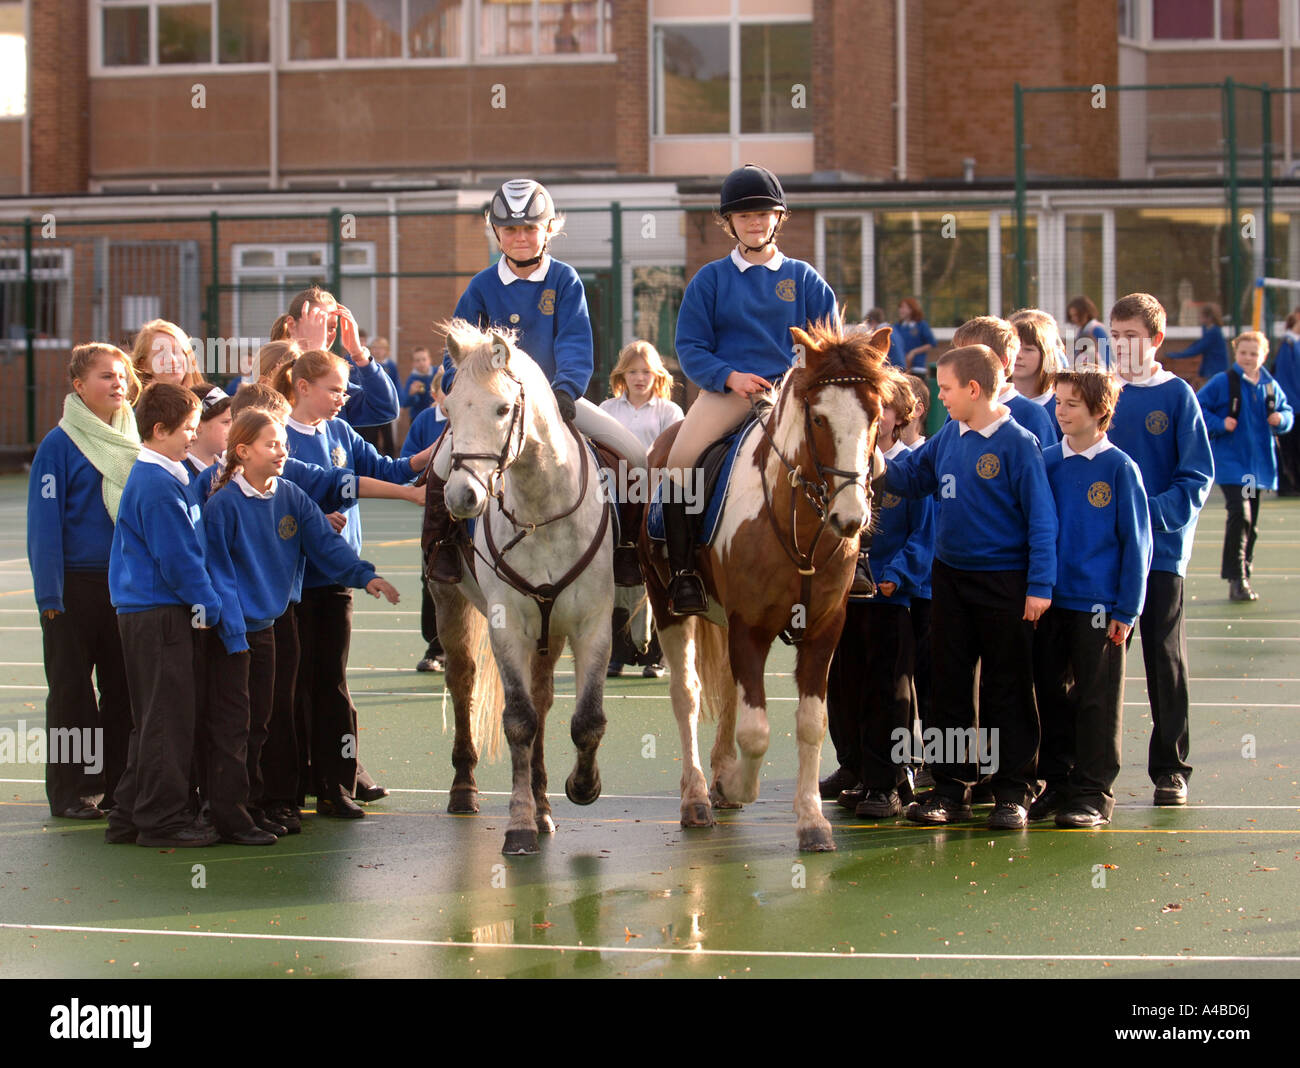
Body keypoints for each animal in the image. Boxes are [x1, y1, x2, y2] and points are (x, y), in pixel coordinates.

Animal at [634, 323, 899, 852]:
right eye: (818, 419)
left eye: (876, 416)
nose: (851, 519)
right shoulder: (749, 627)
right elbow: (756, 731)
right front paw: (739, 785)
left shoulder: (824, 629)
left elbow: (811, 723)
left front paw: (812, 821)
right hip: (669, 606)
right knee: (687, 693)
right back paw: (697, 795)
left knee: (725, 690)